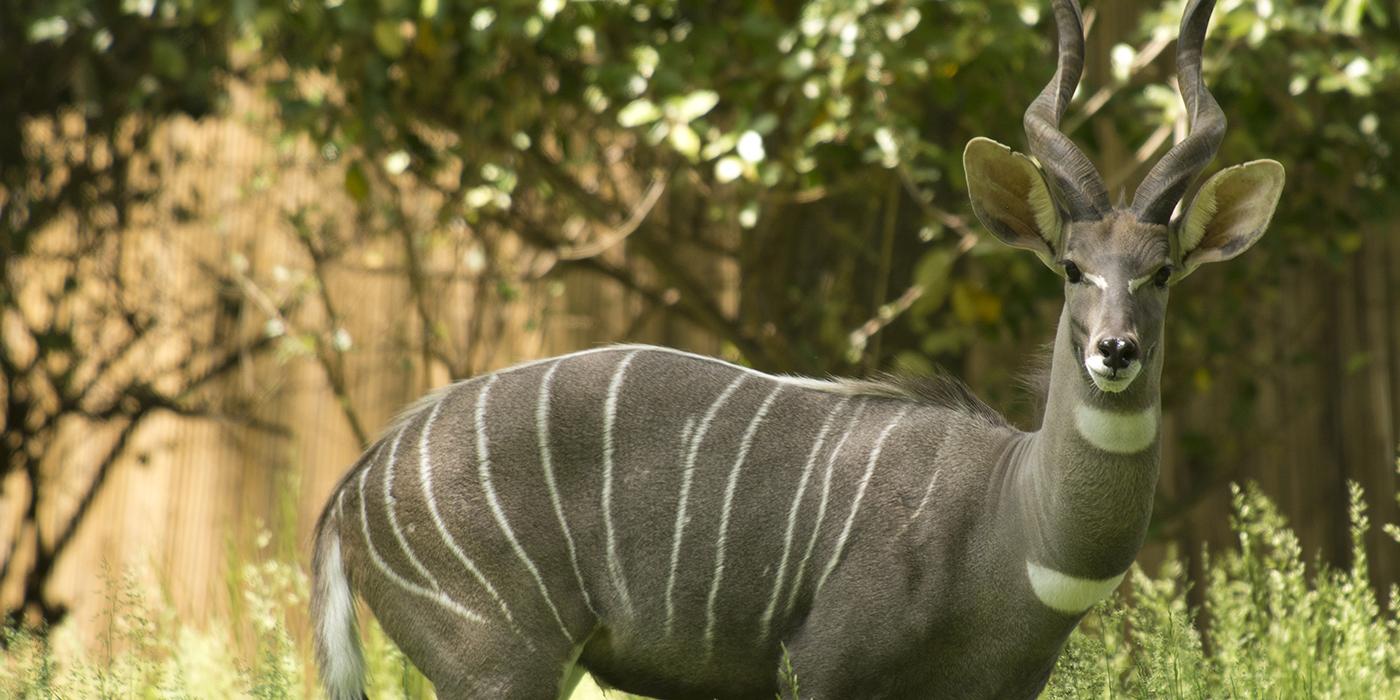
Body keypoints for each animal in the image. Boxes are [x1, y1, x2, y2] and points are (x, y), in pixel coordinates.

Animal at [306, 2, 1282, 697]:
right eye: (1073, 267)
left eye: (1162, 272)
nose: (1114, 350)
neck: (1010, 526)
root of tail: (355, 485)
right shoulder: (823, 662)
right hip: (500, 659)